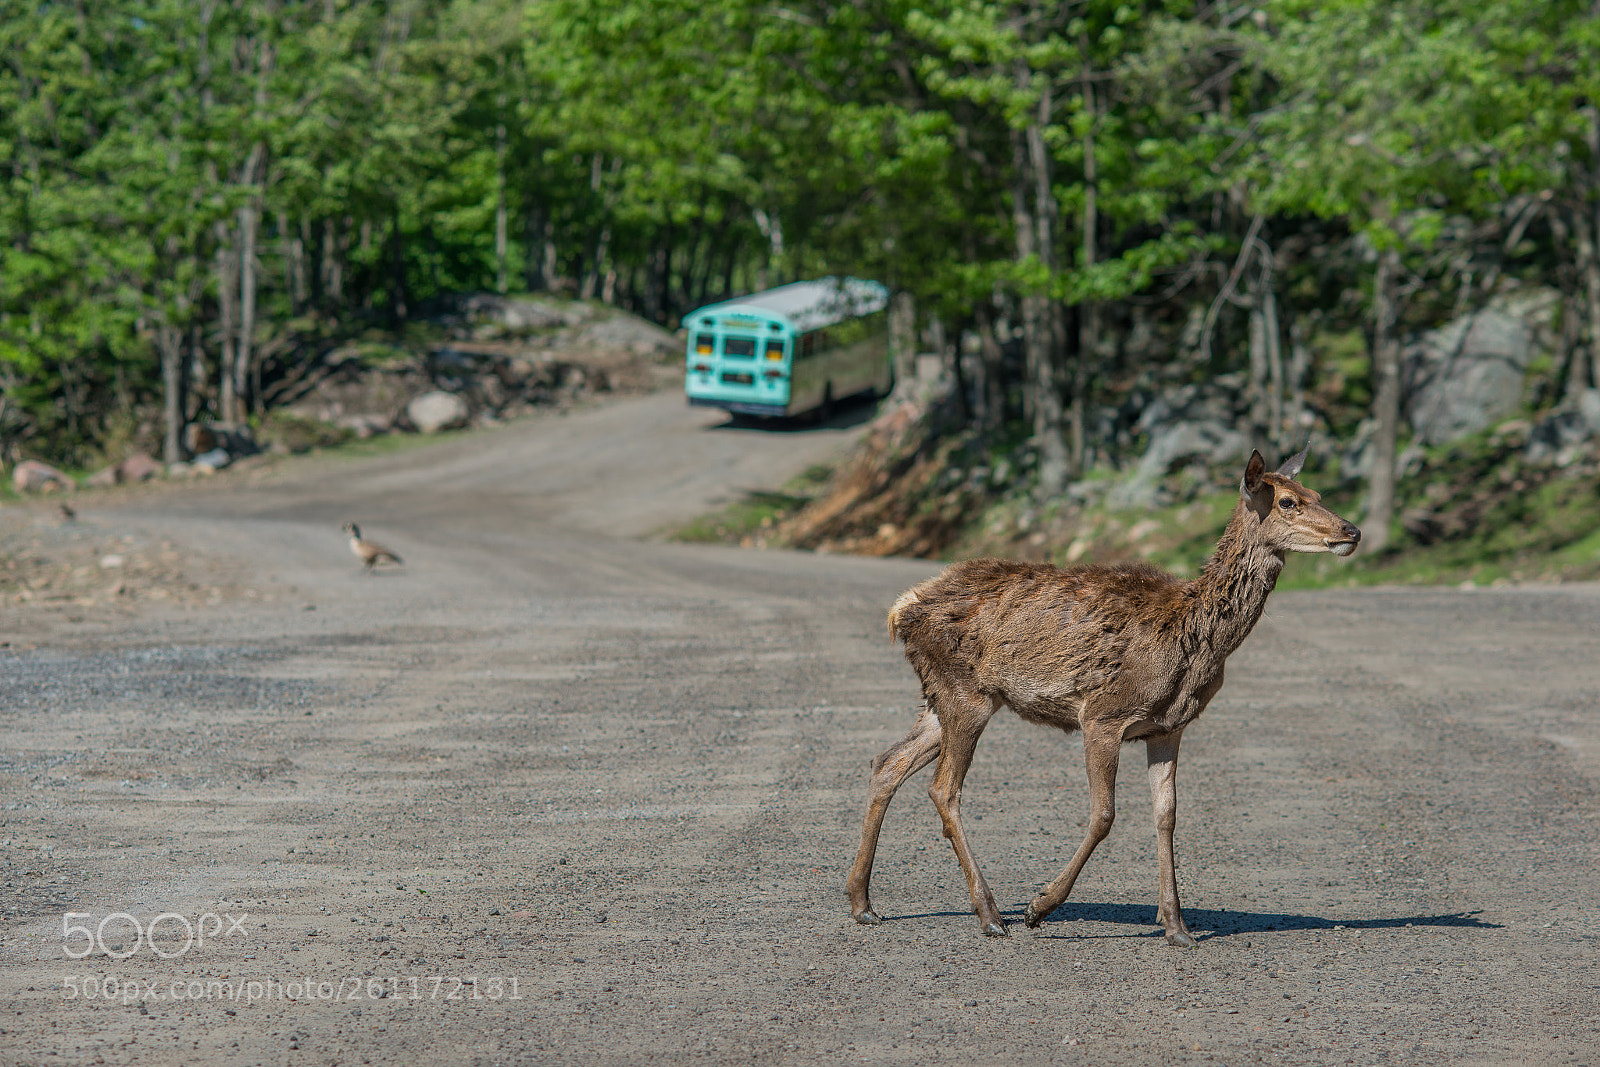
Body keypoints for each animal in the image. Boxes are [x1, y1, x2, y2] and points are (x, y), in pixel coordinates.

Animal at [846, 448, 1360, 946]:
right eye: (1287, 502)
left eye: (1316, 493)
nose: (1351, 531)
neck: (1193, 640)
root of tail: (901, 610)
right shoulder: (1102, 715)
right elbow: (1104, 815)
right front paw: (1039, 907)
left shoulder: (1168, 727)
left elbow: (1167, 815)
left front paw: (1177, 926)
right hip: (964, 694)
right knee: (943, 787)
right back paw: (990, 915)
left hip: (942, 698)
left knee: (886, 762)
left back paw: (862, 903)